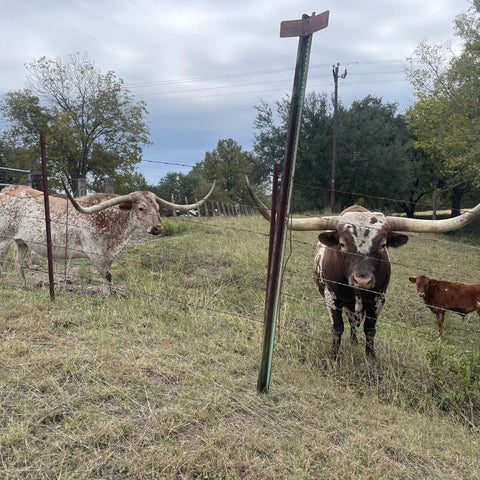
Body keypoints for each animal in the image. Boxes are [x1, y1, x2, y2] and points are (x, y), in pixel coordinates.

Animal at [0, 182, 214, 284]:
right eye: (141, 208)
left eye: (157, 208)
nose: (157, 228)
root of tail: (8, 190)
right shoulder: (95, 252)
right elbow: (108, 276)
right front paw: (111, 296)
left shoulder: (110, 254)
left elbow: (109, 274)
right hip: (3, 239)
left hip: (22, 242)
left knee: (18, 262)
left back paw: (25, 285)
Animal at [248, 178, 480, 362]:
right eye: (342, 244)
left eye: (383, 245)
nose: (362, 281)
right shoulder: (331, 297)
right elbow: (337, 328)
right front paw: (334, 357)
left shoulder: (379, 298)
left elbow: (370, 329)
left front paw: (371, 359)